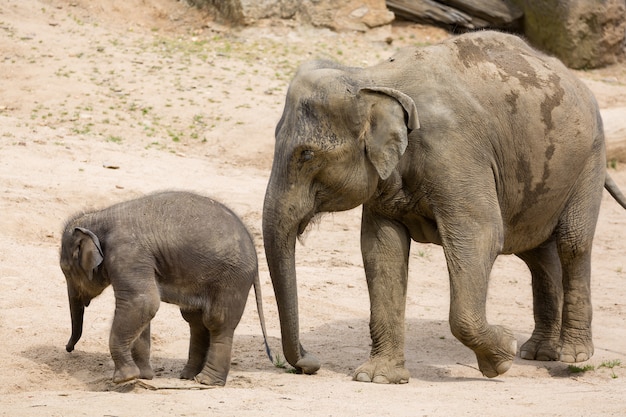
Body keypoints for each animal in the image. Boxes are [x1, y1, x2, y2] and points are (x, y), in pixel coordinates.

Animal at [59, 190, 270, 386]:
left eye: (66, 270)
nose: (68, 348)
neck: (98, 217)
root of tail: (255, 250)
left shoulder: (127, 254)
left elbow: (144, 303)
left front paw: (124, 378)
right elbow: (143, 312)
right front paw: (143, 376)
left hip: (231, 280)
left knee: (217, 322)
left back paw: (206, 381)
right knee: (195, 321)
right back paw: (188, 376)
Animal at [260, 30, 624, 384]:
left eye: (306, 155)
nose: (310, 363)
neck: (370, 77)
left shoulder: (456, 152)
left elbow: (481, 236)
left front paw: (502, 356)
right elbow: (381, 248)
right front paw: (377, 377)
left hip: (589, 159)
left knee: (572, 243)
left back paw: (572, 356)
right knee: (536, 252)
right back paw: (537, 353)